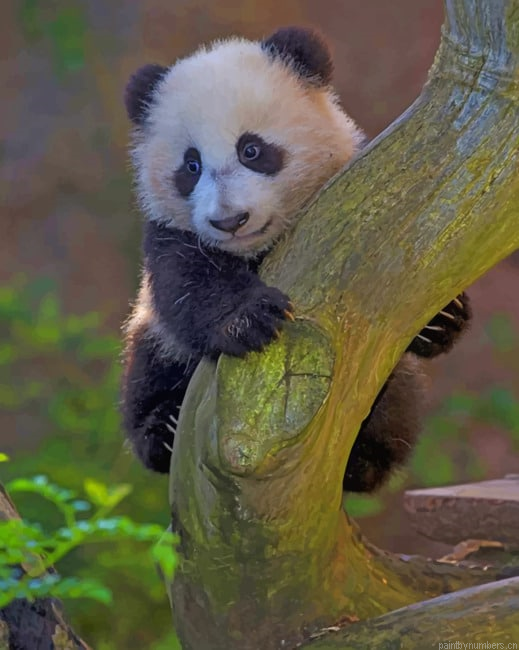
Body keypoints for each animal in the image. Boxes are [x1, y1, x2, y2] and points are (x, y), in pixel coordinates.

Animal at [121, 26, 471, 492]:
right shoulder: (168, 235)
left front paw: (441, 319)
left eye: (251, 149)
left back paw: (363, 459)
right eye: (190, 166)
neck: (256, 248)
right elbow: (187, 284)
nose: (230, 221)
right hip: (153, 341)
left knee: (396, 403)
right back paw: (164, 428)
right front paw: (248, 319)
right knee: (148, 371)